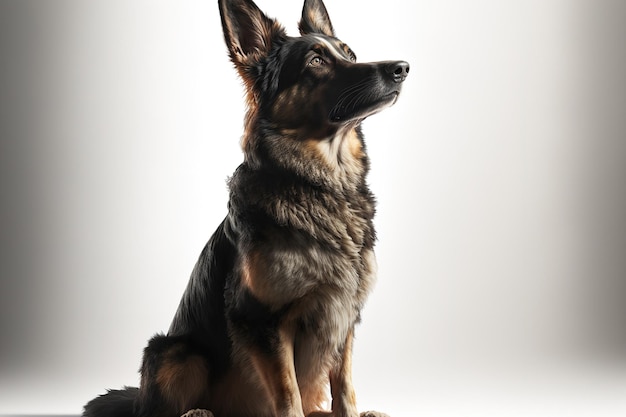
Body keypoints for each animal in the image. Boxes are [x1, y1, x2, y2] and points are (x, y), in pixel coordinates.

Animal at [84, 0, 410, 414]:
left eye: (349, 54)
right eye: (316, 60)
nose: (402, 68)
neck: (319, 184)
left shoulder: (345, 316)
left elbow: (345, 385)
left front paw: (351, 410)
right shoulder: (262, 320)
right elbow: (289, 394)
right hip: (175, 351)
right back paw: (197, 411)